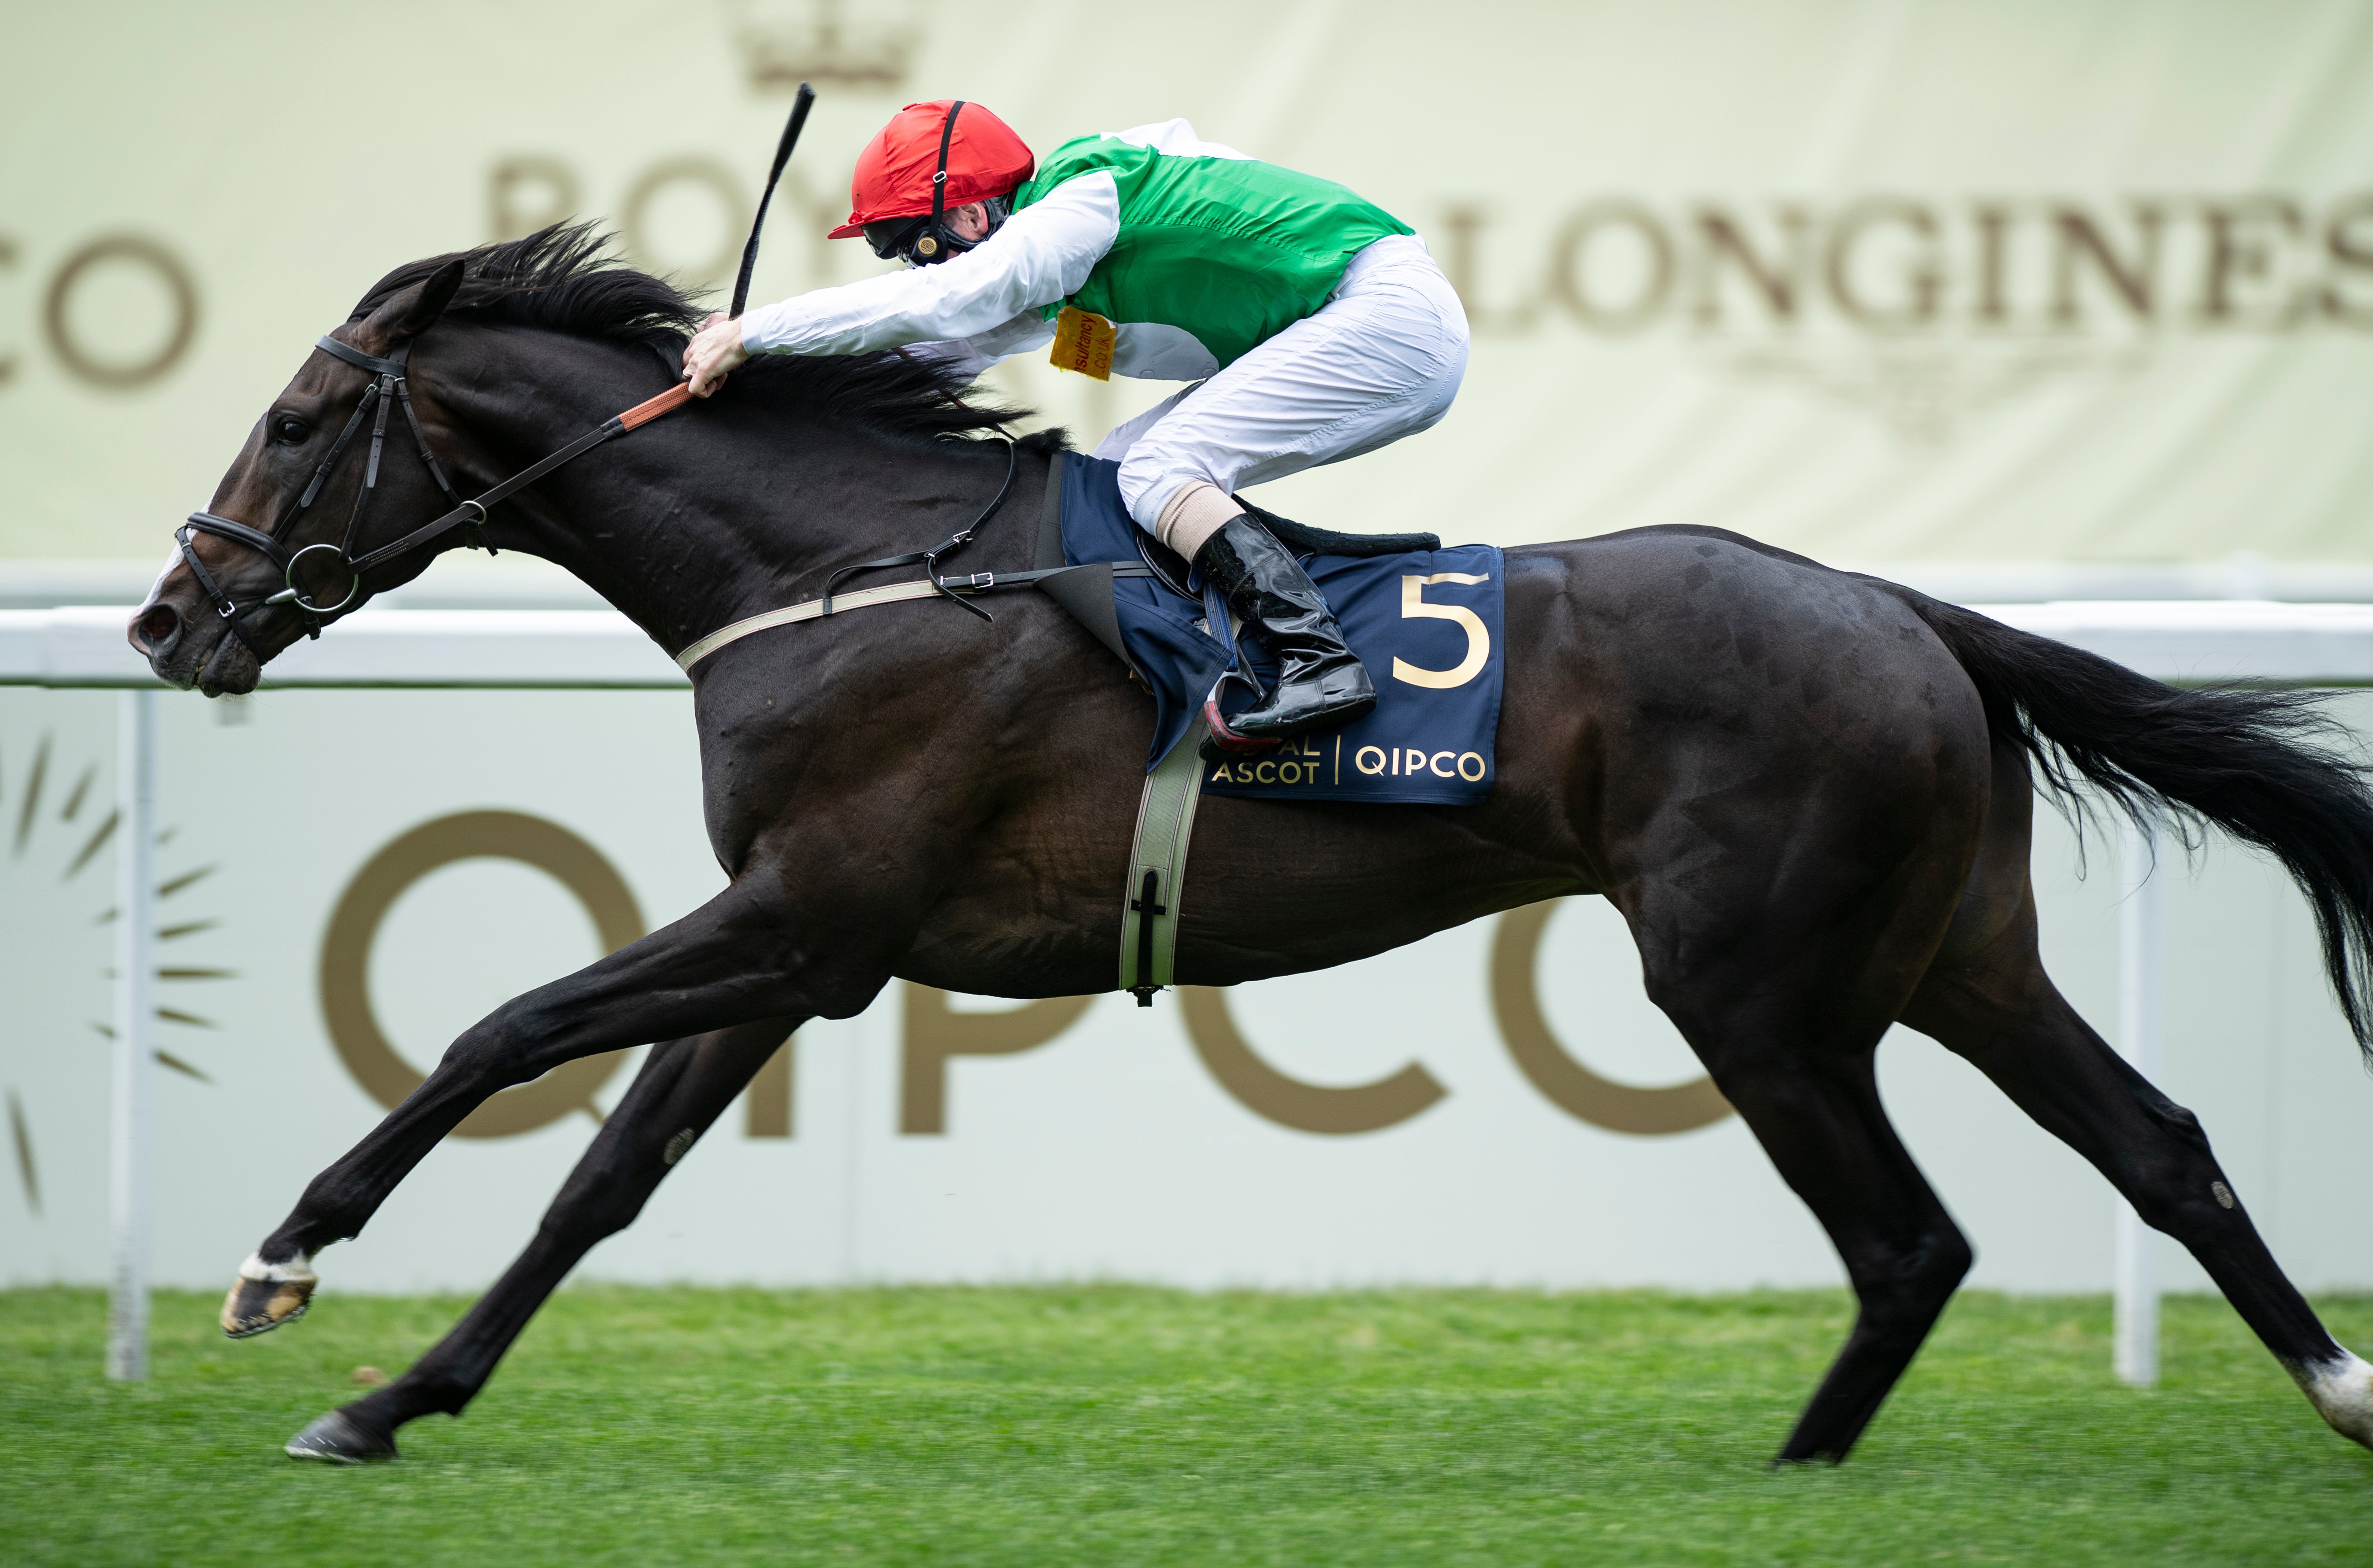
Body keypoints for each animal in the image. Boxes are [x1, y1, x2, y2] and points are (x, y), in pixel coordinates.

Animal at [125, 229, 2373, 1471]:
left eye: (302, 415)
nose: (166, 621)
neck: (843, 568)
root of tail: (1908, 612)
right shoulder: (805, 942)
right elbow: (603, 1175)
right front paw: (394, 1400)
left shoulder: (802, 910)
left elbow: (502, 1030)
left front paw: (282, 1261)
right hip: (1945, 950)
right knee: (2154, 1148)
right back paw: (2332, 1387)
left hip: (1753, 986)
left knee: (1908, 1236)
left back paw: (1793, 1474)